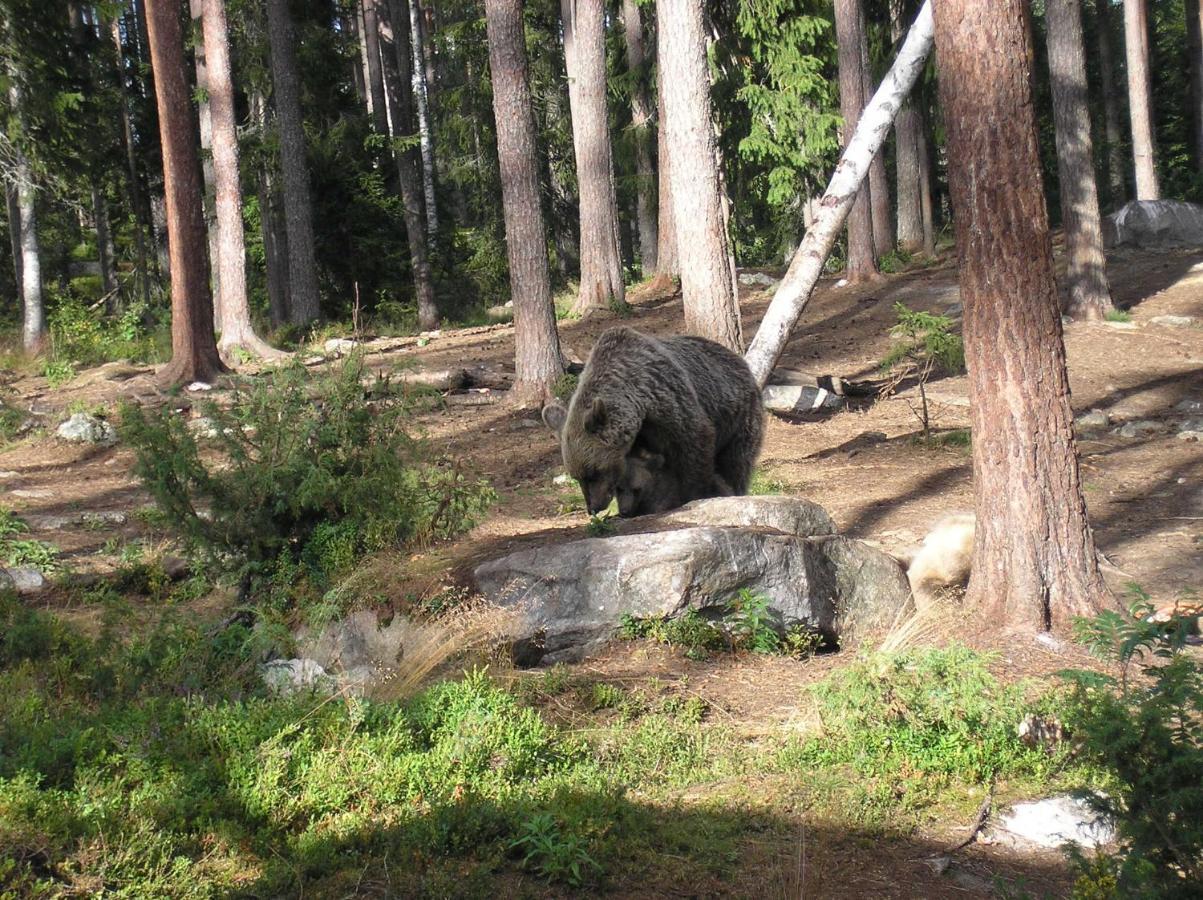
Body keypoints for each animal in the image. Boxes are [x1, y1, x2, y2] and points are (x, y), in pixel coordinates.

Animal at [543, 327, 760, 517]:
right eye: (577, 476)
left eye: (594, 472)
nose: (593, 507)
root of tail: (738, 359)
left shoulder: (669, 403)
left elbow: (695, 444)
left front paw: (694, 495)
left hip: (737, 417)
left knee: (736, 462)